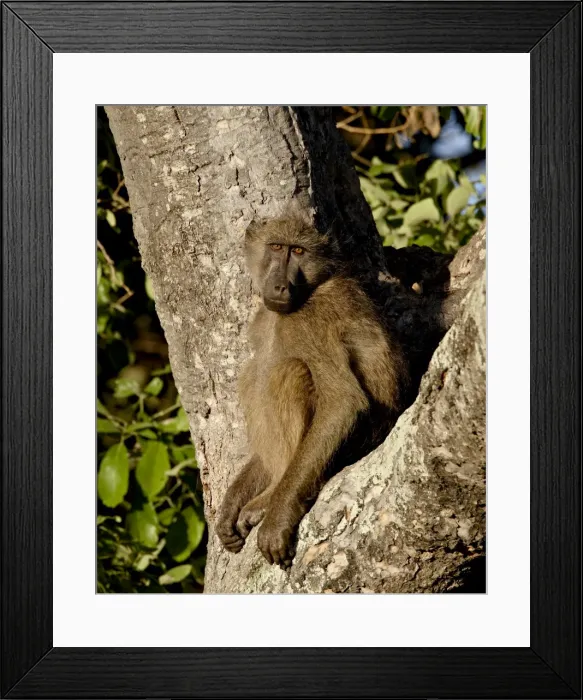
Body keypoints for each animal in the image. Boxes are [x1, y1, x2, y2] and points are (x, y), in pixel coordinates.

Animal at [216, 211, 410, 567]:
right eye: (276, 247)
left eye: (298, 252)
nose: (280, 286)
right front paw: (228, 508)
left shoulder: (313, 322)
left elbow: (342, 402)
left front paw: (277, 516)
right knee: (253, 375)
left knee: (287, 372)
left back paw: (270, 498)